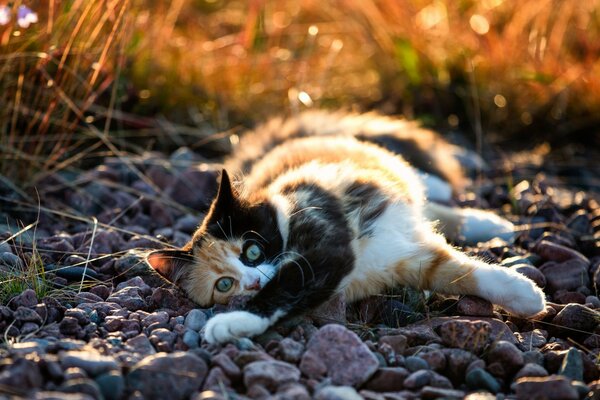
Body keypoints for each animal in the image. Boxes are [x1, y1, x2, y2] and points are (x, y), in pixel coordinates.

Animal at [146, 111, 548, 344]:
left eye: (253, 250)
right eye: (224, 284)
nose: (253, 282)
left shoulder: (324, 238)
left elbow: (287, 285)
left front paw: (233, 321)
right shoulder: (402, 262)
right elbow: (458, 271)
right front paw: (524, 295)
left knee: (415, 181)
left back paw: (463, 202)